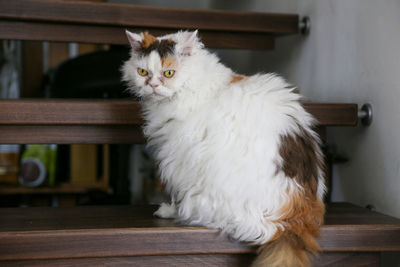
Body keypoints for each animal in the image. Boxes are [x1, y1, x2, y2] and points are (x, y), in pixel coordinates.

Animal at [123, 30, 326, 266]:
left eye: (169, 73)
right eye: (142, 72)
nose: (153, 85)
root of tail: (295, 218)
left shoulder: (181, 155)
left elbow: (178, 193)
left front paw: (169, 209)